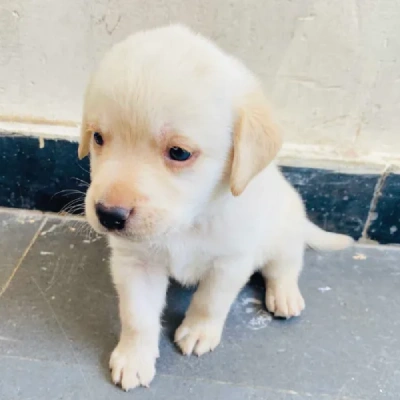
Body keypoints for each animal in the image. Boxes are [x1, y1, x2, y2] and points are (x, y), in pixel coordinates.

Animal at [79, 24, 354, 390]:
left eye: (179, 152)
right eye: (98, 137)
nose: (108, 215)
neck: (189, 222)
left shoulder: (231, 262)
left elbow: (210, 301)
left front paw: (198, 331)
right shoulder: (134, 262)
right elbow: (138, 316)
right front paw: (134, 356)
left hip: (284, 230)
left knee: (286, 265)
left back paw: (285, 295)